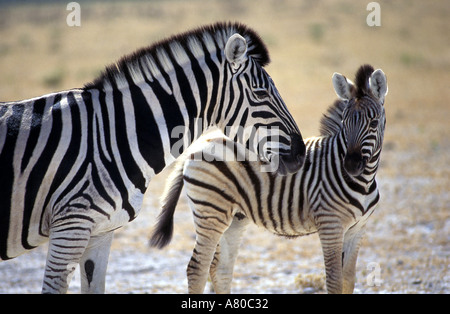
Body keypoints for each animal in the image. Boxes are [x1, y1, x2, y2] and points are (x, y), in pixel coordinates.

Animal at [150, 64, 386, 294]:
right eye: (345, 122)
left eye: (374, 123)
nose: (351, 165)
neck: (364, 182)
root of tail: (198, 144)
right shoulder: (330, 225)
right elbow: (335, 282)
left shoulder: (357, 229)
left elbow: (348, 281)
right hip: (211, 212)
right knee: (198, 268)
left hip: (235, 219)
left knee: (220, 269)